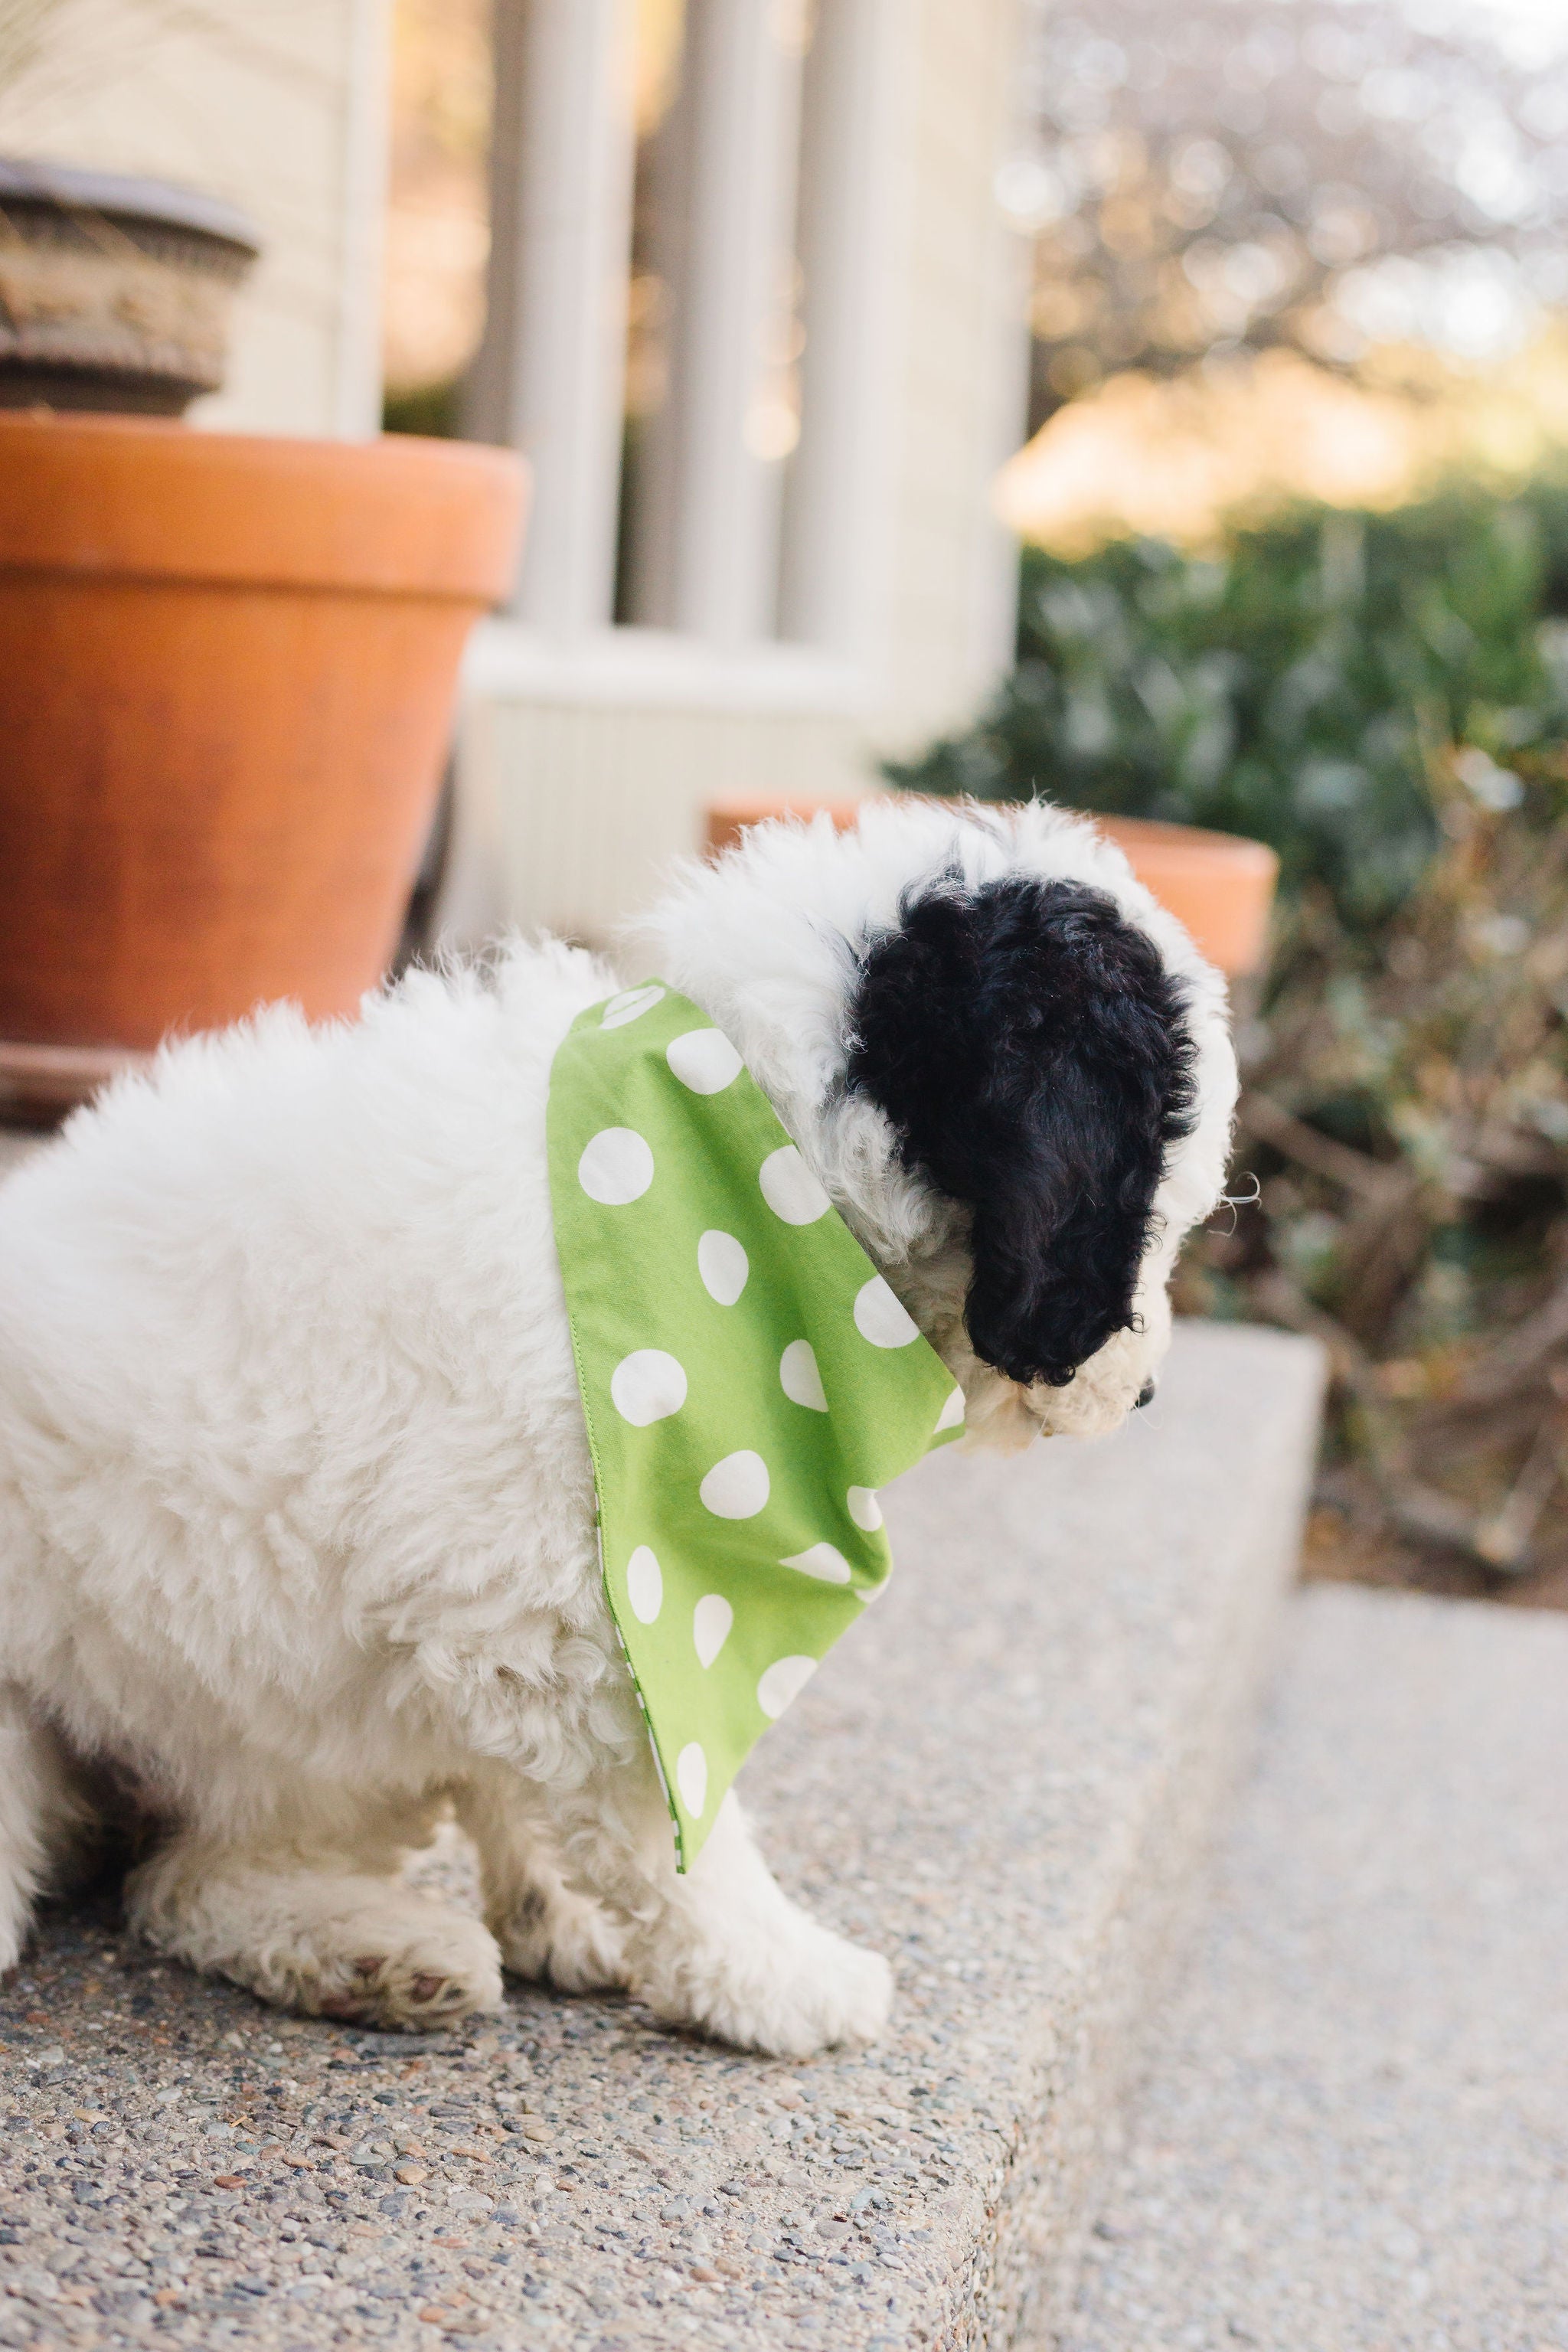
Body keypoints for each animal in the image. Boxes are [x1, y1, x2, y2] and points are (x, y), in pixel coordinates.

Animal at [0, 804, 1231, 2060]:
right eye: (1154, 1212)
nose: (1145, 1396)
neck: (732, 1165)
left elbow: (525, 1784)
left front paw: (564, 1912)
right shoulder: (574, 1624)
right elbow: (673, 1834)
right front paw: (777, 1977)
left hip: (302, 1740)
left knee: (190, 1880)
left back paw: (378, 1954)